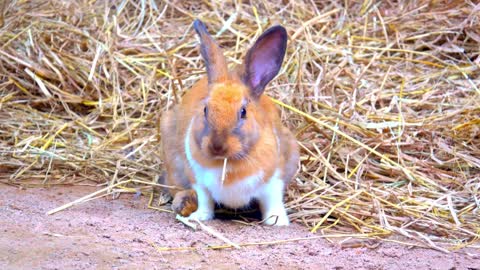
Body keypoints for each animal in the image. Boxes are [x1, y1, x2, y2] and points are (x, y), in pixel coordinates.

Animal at [159, 19, 298, 226]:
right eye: (205, 109)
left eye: (243, 112)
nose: (217, 146)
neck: (228, 162)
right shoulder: (199, 181)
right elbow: (205, 201)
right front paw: (199, 217)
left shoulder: (274, 180)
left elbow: (273, 202)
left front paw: (278, 222)